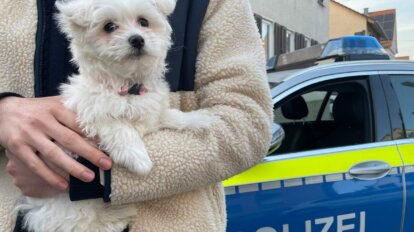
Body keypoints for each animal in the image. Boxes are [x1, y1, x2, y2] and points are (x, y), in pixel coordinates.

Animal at [15, 0, 210, 231]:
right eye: (109, 27)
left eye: (143, 22)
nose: (137, 39)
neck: (127, 87)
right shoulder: (89, 114)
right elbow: (118, 128)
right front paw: (139, 159)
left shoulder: (152, 113)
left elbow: (169, 116)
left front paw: (197, 119)